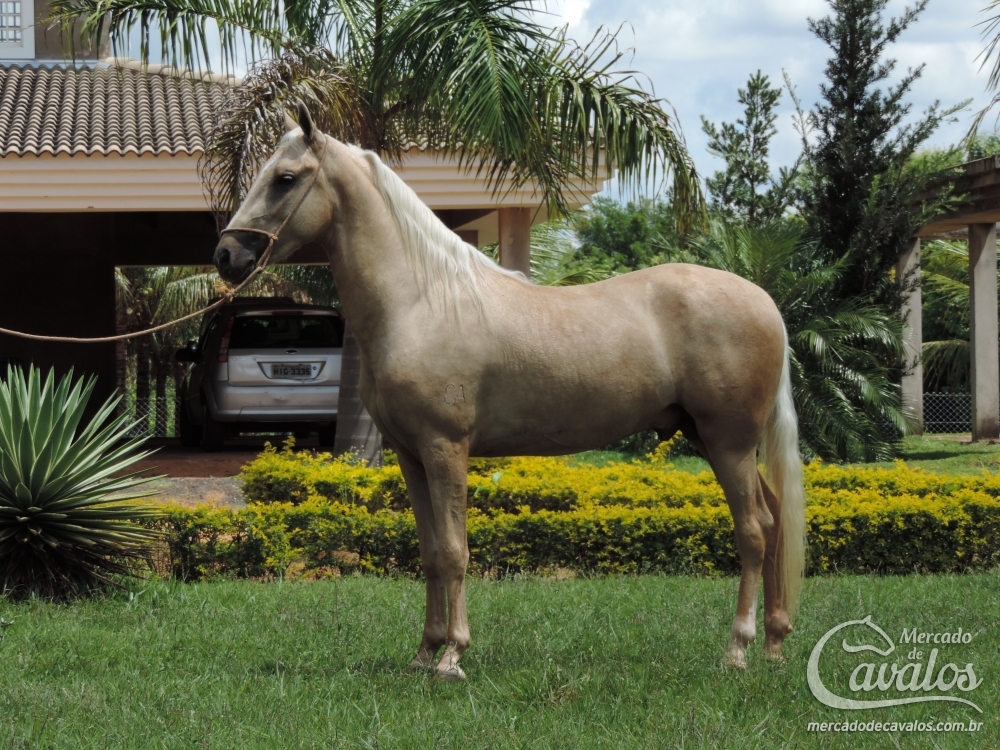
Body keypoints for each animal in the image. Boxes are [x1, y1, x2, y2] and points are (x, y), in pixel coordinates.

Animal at [214, 102, 806, 680]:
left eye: (285, 179)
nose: (226, 256)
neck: (421, 302)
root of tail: (764, 302)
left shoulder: (445, 449)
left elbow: (455, 550)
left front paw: (453, 657)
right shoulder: (410, 455)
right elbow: (430, 552)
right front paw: (424, 652)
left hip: (728, 441)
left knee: (754, 530)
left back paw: (738, 648)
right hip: (712, 439)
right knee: (776, 520)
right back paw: (775, 644)